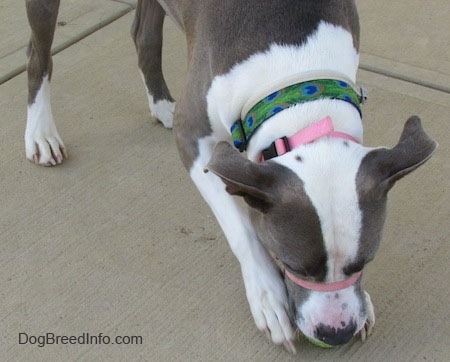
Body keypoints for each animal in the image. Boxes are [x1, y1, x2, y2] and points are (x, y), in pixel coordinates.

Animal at [25, 0, 436, 352]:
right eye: (291, 264)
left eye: (365, 261)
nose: (337, 333)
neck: (295, 76)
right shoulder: (195, 139)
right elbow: (240, 227)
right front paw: (268, 298)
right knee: (37, 54)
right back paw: (41, 131)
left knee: (144, 34)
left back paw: (160, 104)